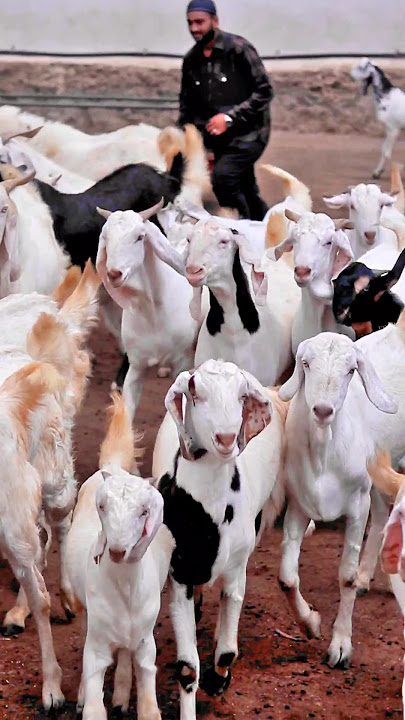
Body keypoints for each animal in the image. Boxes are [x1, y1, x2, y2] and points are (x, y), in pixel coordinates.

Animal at [66, 392, 172, 720]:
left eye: (145, 511)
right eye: (102, 507)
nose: (116, 550)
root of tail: (114, 466)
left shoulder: (146, 642)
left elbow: (149, 703)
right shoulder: (97, 643)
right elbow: (93, 698)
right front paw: (86, 698)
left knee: (125, 652)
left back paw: (123, 695)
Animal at [152, 359, 286, 720]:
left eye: (242, 395)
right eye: (195, 392)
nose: (225, 438)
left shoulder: (237, 569)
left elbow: (227, 650)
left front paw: (218, 680)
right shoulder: (179, 575)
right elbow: (187, 668)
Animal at [278, 311, 405, 668]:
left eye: (351, 371)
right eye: (305, 364)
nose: (322, 411)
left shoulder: (356, 505)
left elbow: (344, 576)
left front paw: (340, 646)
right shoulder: (298, 505)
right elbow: (286, 578)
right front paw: (310, 623)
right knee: (382, 514)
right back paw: (365, 577)